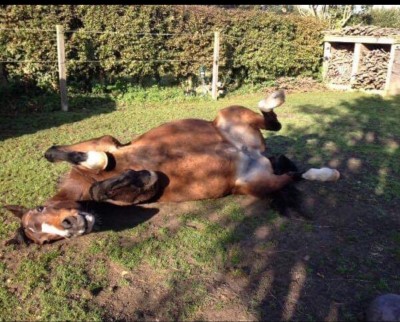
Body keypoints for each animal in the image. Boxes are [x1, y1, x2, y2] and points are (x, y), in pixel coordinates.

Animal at [4, 90, 340, 244]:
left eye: (41, 209)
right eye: (45, 240)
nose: (72, 226)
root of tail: (253, 155)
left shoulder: (106, 142)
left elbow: (58, 153)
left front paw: (100, 164)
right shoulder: (145, 189)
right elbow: (116, 185)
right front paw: (113, 180)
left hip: (228, 115)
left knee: (273, 123)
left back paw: (273, 99)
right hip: (256, 184)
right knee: (290, 174)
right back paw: (325, 173)